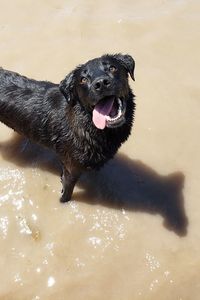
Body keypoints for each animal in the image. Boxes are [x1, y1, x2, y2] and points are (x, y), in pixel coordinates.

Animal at [0, 55, 135, 203]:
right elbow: (66, 193)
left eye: (112, 68)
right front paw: (63, 202)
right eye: (83, 79)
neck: (87, 123)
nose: (101, 83)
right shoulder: (71, 169)